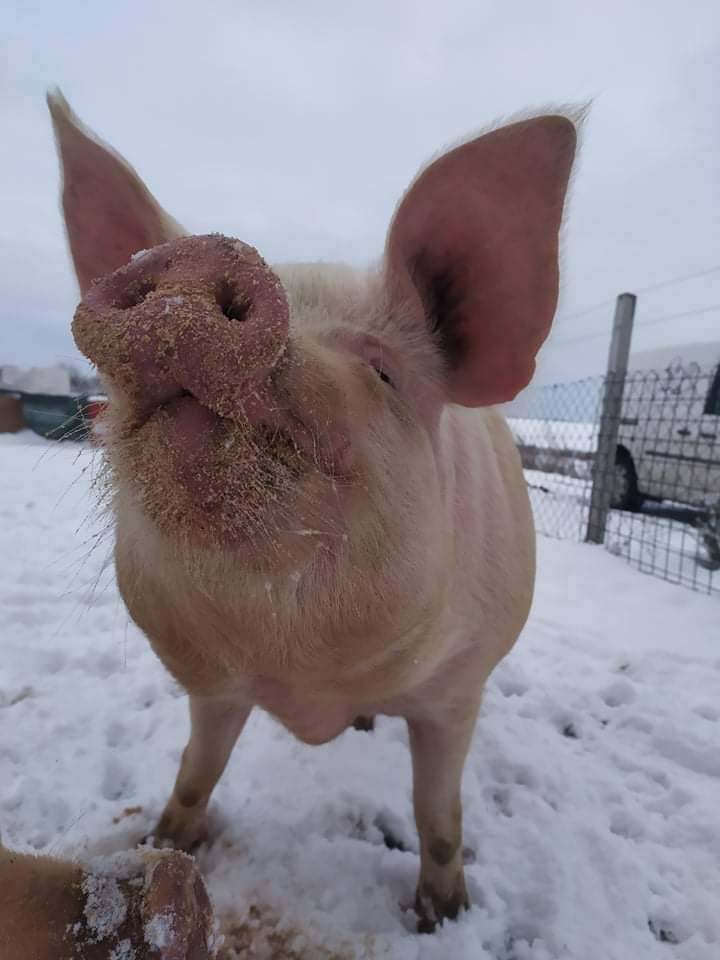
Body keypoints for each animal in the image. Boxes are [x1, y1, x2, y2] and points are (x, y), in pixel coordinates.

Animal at [46, 88, 580, 928]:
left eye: (383, 371)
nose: (202, 258)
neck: (303, 674)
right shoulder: (214, 687)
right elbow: (196, 771)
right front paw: (165, 846)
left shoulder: (459, 685)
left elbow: (438, 814)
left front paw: (443, 916)